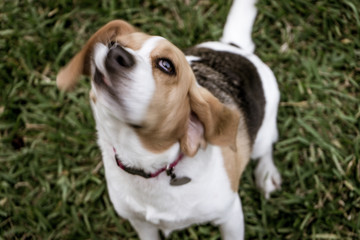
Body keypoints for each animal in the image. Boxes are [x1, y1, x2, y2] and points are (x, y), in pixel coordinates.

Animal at [55, 0, 282, 239]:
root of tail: (233, 47)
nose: (116, 53)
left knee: (266, 148)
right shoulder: (141, 223)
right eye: (113, 43)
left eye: (166, 65)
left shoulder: (230, 216)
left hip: (264, 132)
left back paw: (266, 175)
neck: (149, 165)